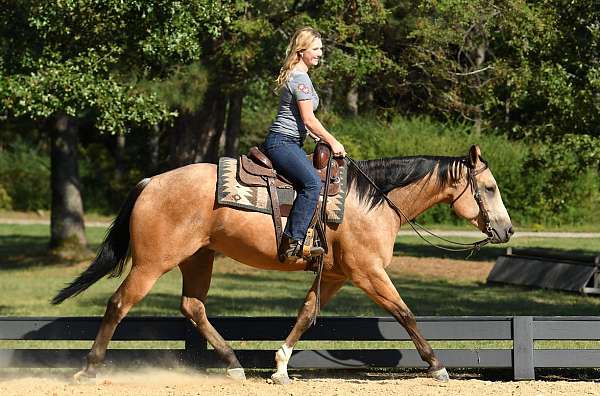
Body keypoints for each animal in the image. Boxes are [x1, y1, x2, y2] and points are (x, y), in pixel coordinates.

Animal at [52, 145, 510, 384]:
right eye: (488, 187)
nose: (506, 230)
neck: (370, 201)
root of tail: (152, 182)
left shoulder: (337, 275)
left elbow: (307, 313)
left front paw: (281, 365)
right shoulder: (368, 273)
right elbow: (405, 313)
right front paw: (438, 366)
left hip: (198, 259)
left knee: (192, 307)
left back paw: (235, 364)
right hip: (152, 262)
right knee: (119, 303)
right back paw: (89, 368)